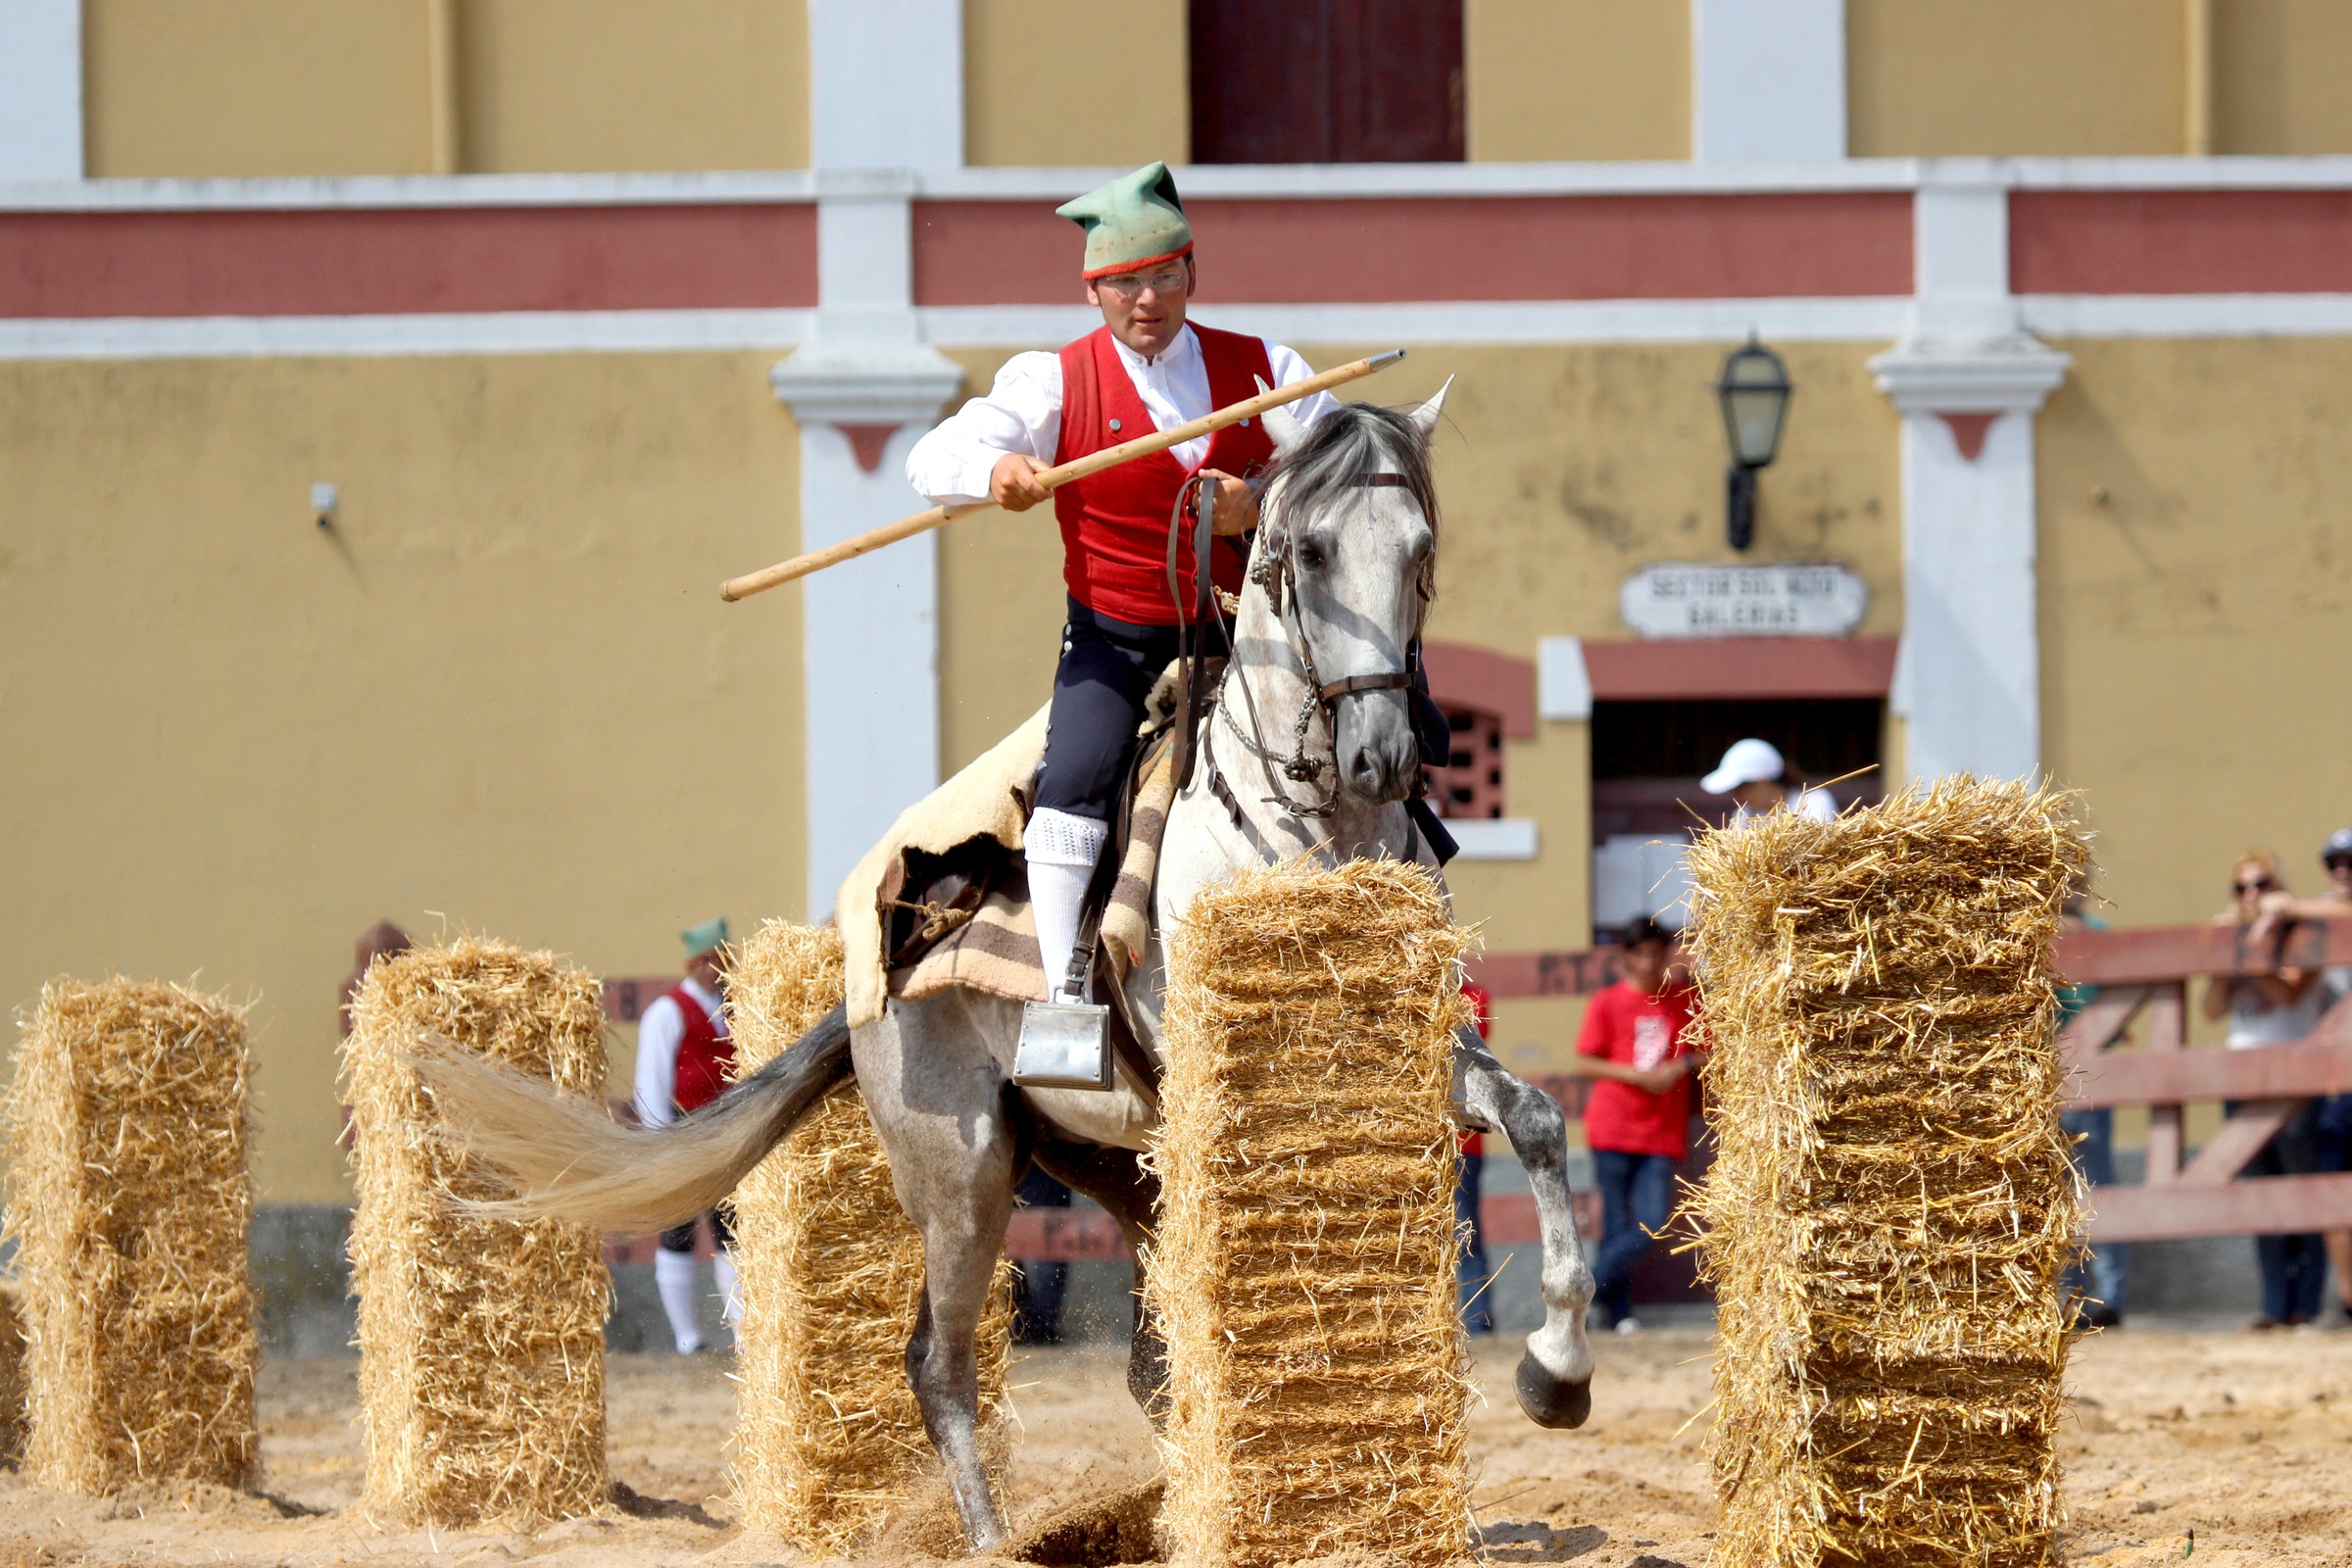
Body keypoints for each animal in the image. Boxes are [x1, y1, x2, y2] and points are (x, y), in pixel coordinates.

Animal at [423, 385, 1599, 1551]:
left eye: (1419, 548)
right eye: (1309, 551)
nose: (1383, 754)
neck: (1306, 817)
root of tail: (876, 979)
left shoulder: (1429, 1043)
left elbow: (1538, 1118)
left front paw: (1557, 1372)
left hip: (1106, 1160)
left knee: (1139, 1361)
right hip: (965, 1175)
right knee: (937, 1366)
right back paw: (996, 1539)